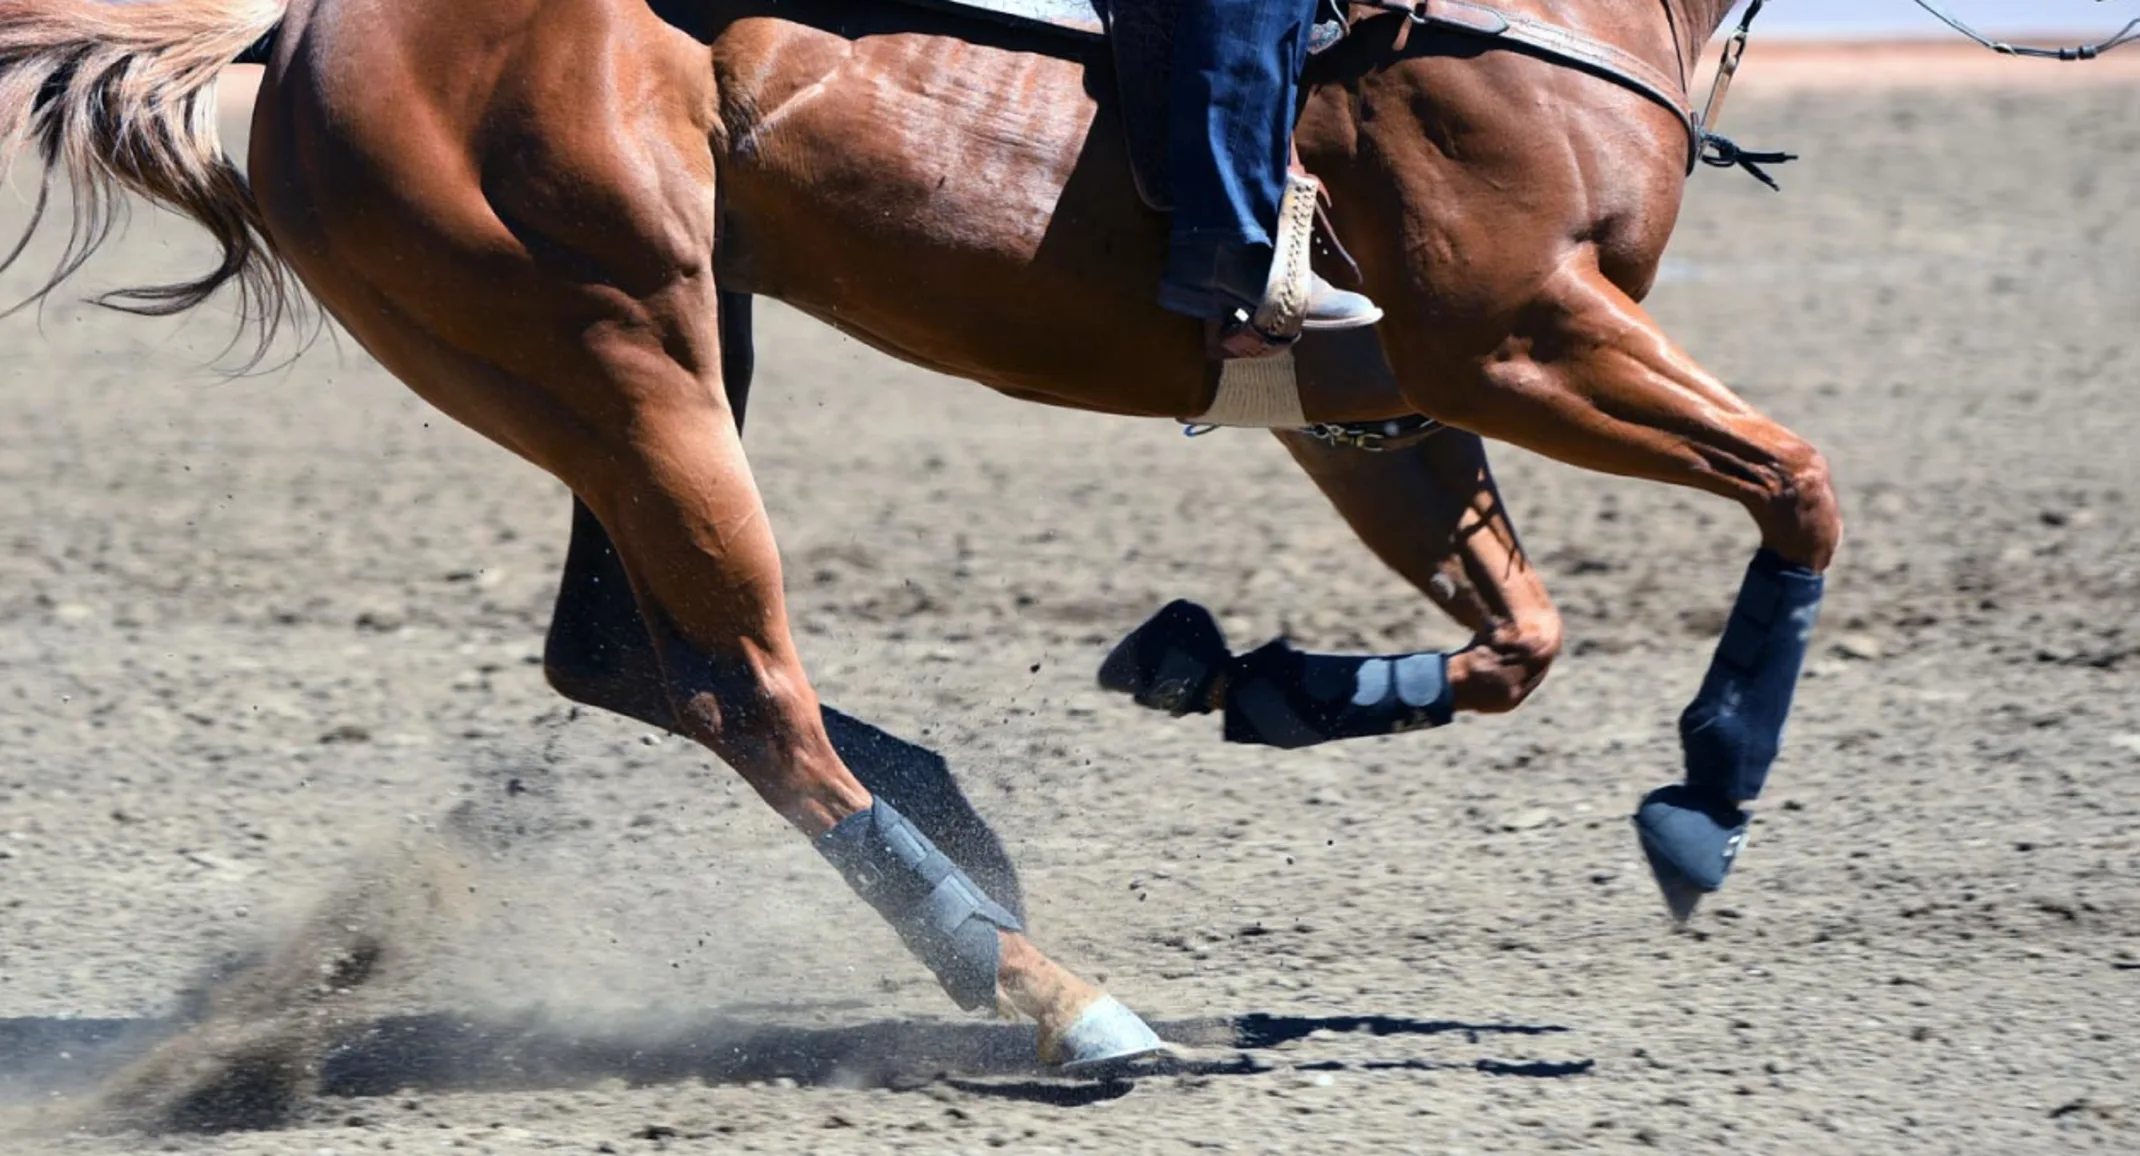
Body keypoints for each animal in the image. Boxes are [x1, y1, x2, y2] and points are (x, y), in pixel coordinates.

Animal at [0, 0, 1840, 1070]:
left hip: (633, 357)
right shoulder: (1513, 333)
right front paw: (1710, 793)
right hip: (626, 353)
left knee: (618, 657)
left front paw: (1240, 677)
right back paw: (1047, 990)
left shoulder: (1377, 394)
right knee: (743, 694)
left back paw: (965, 836)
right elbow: (1799, 482)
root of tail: (291, 36)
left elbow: (1526, 632)